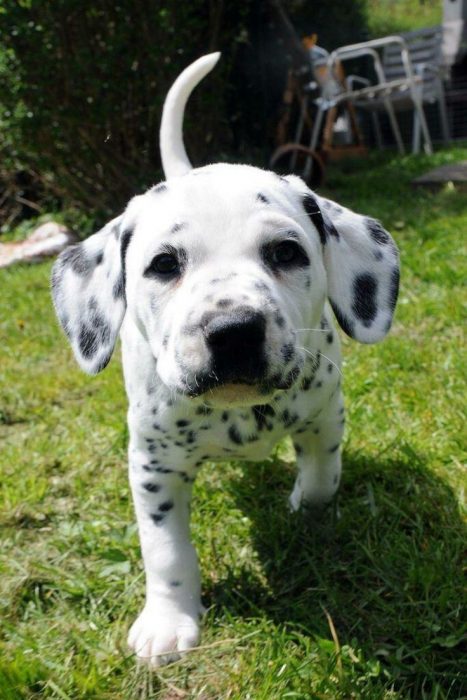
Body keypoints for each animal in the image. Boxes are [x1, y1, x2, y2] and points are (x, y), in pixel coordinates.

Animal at [52, 54, 402, 668]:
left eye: (286, 252)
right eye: (164, 264)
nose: (234, 331)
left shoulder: (324, 419)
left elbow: (322, 478)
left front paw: (308, 511)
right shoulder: (153, 464)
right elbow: (165, 550)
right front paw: (169, 621)